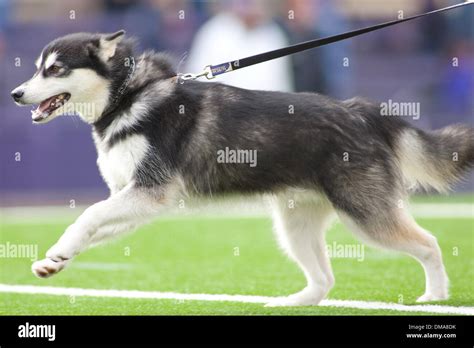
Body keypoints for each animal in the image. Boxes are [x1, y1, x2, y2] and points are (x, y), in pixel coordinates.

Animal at [12, 31, 474, 306]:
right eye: (37, 68)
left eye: (55, 69)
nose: (16, 93)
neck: (127, 97)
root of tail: (363, 111)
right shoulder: (136, 200)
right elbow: (91, 226)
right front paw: (57, 259)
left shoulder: (150, 190)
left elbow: (87, 215)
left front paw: (60, 251)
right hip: (294, 225)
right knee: (324, 281)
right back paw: (292, 304)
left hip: (365, 215)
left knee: (429, 244)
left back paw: (435, 296)